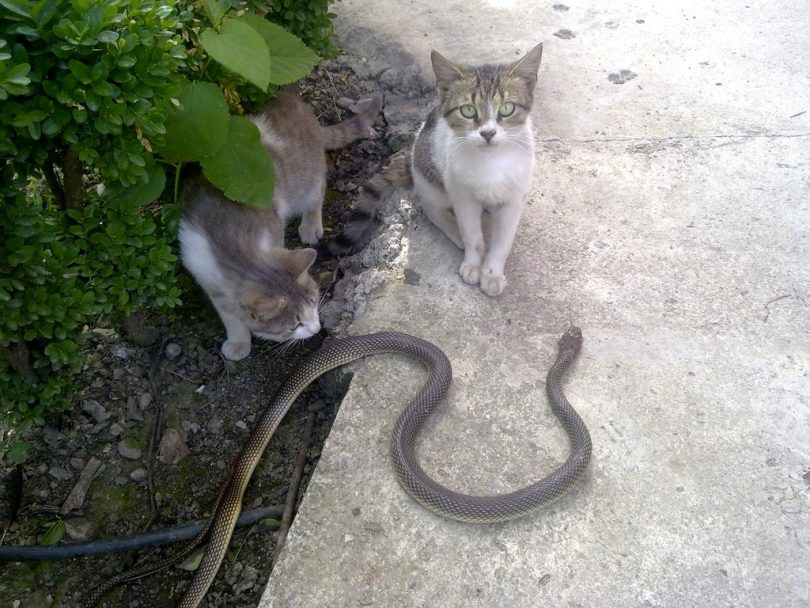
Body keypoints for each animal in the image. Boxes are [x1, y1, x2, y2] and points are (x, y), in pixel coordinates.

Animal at [181, 89, 384, 360]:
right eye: (295, 324)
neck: (225, 236)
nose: (317, 328)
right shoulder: (204, 272)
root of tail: (307, 115)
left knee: (316, 194)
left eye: (313, 301)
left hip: (306, 177)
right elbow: (230, 316)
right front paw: (238, 340)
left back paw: (310, 225)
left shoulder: (273, 231)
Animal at [318, 44, 540, 296]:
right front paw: (473, 263)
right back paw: (454, 230)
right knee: (430, 207)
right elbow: (472, 234)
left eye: (507, 108)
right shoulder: (463, 197)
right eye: (467, 111)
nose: (488, 133)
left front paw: (492, 273)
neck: (491, 161)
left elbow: (503, 241)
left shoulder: (514, 198)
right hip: (432, 177)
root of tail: (413, 147)